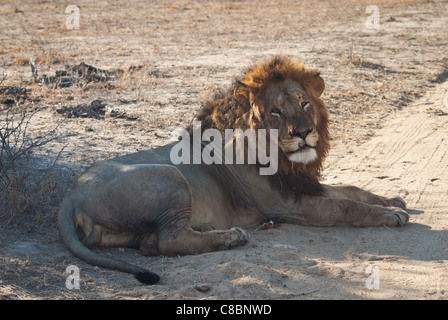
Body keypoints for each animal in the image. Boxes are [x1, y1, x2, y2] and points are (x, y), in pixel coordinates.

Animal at [57, 55, 408, 284]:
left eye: (304, 102)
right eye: (276, 111)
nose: (304, 132)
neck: (282, 160)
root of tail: (70, 195)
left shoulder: (299, 184)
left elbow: (351, 190)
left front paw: (392, 201)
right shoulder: (284, 204)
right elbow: (345, 206)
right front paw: (391, 215)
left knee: (150, 244)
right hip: (170, 176)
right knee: (170, 240)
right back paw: (232, 237)